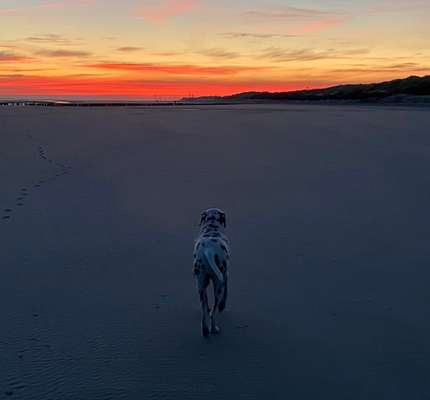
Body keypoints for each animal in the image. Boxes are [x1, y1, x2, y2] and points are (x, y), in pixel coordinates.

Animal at [193, 208, 230, 336]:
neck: (211, 229)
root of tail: (209, 250)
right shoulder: (225, 274)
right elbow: (226, 292)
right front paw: (223, 305)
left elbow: (207, 305)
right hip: (218, 285)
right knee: (213, 312)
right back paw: (213, 328)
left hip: (200, 285)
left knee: (204, 309)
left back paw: (205, 330)